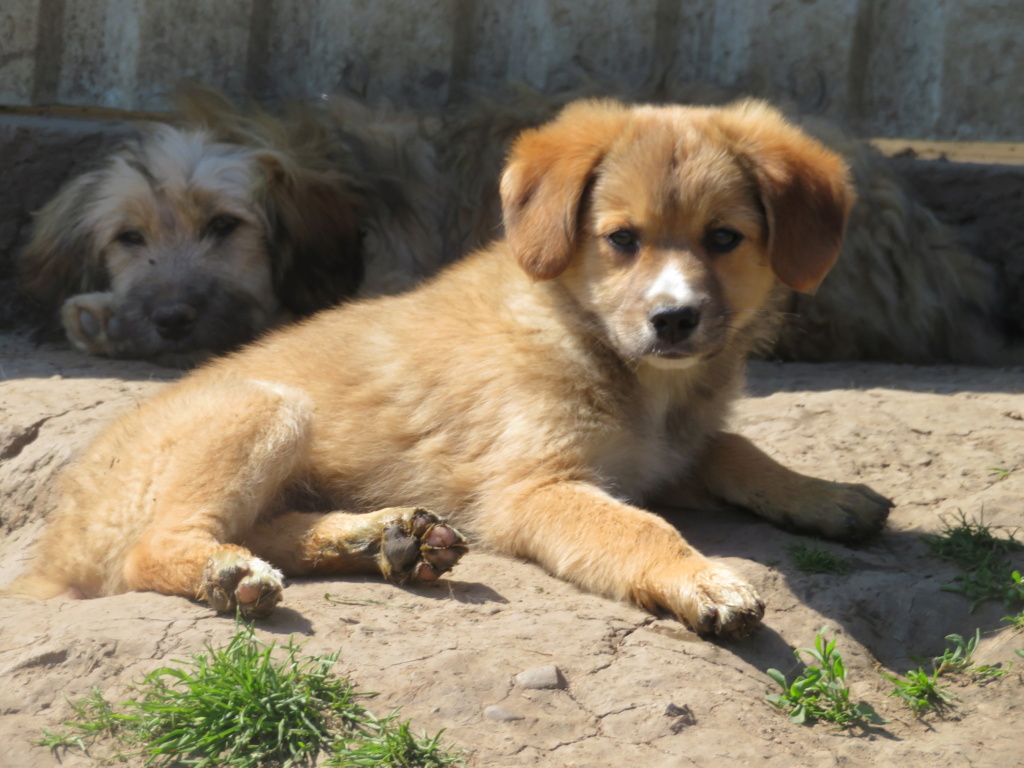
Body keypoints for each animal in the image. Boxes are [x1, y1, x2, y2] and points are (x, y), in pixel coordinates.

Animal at [8, 99, 888, 638]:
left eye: (724, 239)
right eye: (622, 240)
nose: (674, 320)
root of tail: (47, 556)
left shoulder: (671, 452)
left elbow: (737, 449)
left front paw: (827, 495)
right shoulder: (537, 487)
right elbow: (639, 527)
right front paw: (701, 581)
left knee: (263, 526)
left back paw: (382, 539)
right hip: (266, 404)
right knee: (152, 548)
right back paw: (231, 572)